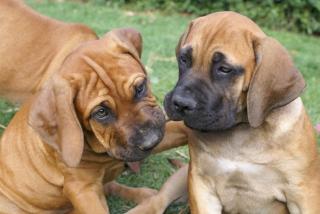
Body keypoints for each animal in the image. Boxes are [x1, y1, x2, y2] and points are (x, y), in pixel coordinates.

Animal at [127, 12, 320, 214]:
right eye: (184, 59)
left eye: (225, 69)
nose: (180, 103)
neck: (241, 132)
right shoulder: (201, 182)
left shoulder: (303, 193)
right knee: (158, 199)